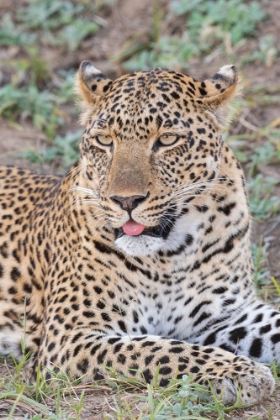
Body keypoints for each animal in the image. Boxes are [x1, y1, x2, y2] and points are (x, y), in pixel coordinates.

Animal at [0, 60, 280, 406]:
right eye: (105, 141)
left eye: (168, 140)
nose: (126, 200)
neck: (170, 255)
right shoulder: (70, 337)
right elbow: (161, 350)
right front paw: (242, 372)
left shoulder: (229, 313)